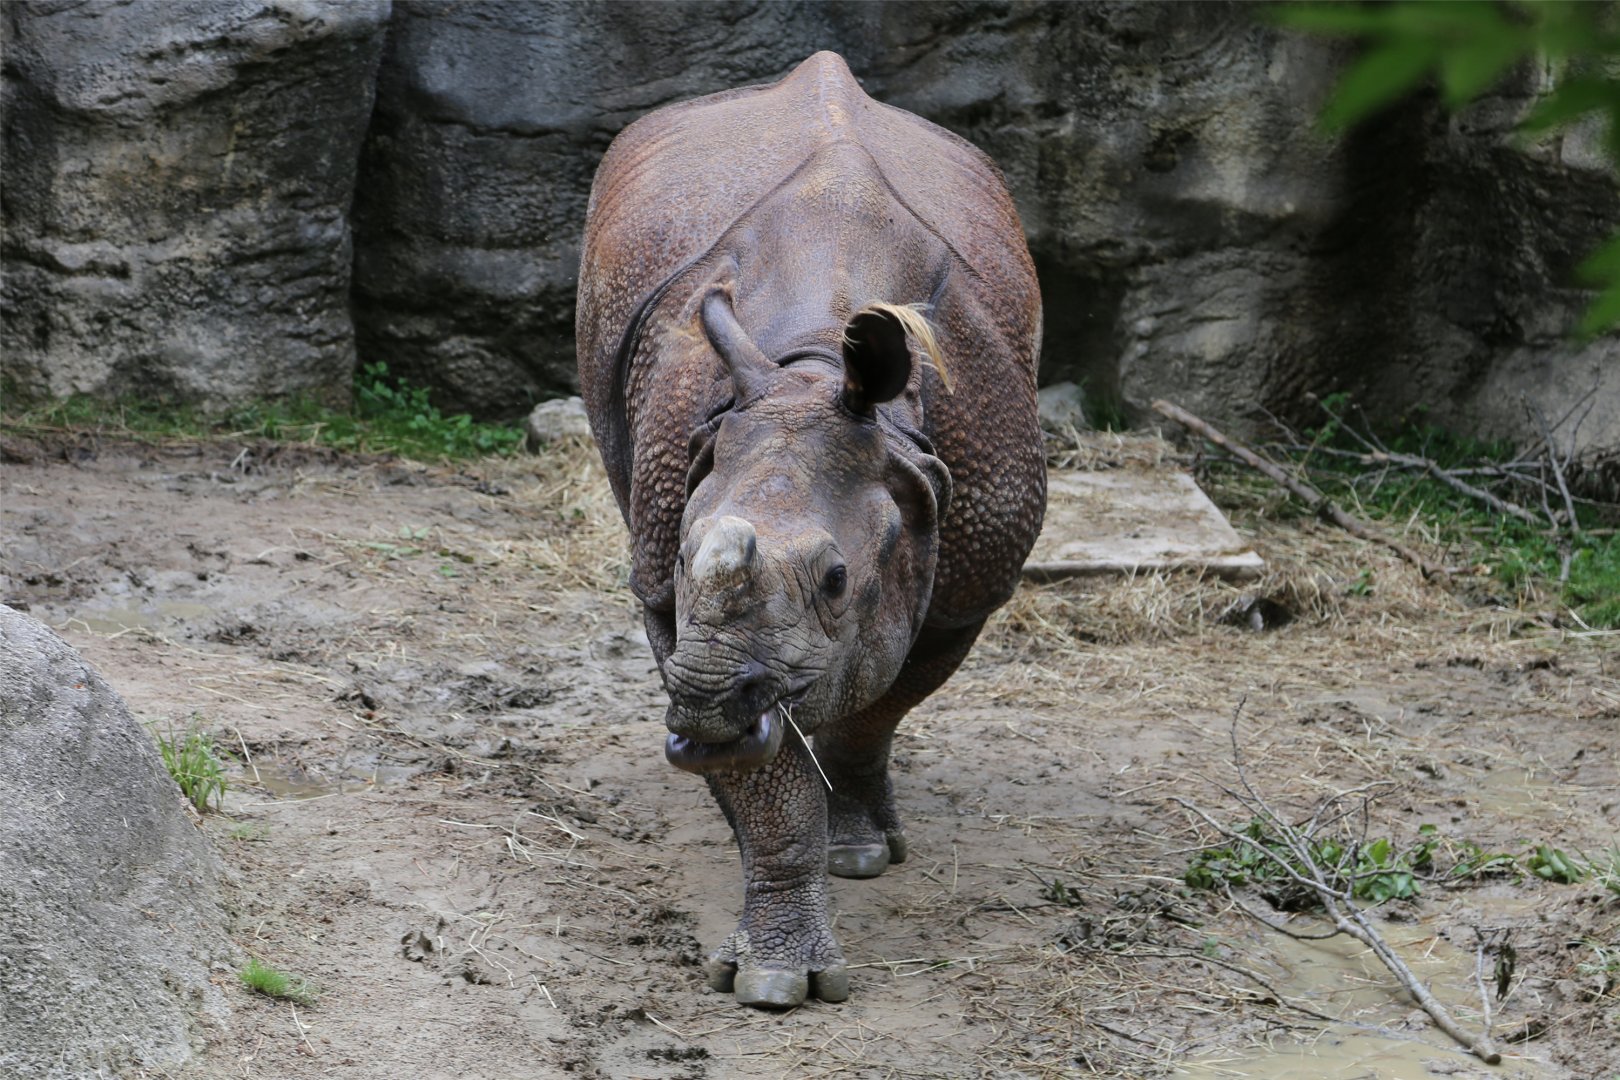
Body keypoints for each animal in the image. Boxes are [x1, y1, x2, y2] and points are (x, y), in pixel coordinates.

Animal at [577, 52, 1046, 1008]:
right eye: (683, 558)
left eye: (836, 580)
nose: (706, 708)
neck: (817, 373)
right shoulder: (667, 590)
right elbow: (774, 784)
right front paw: (771, 976)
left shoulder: (965, 582)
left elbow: (883, 705)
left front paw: (857, 852)